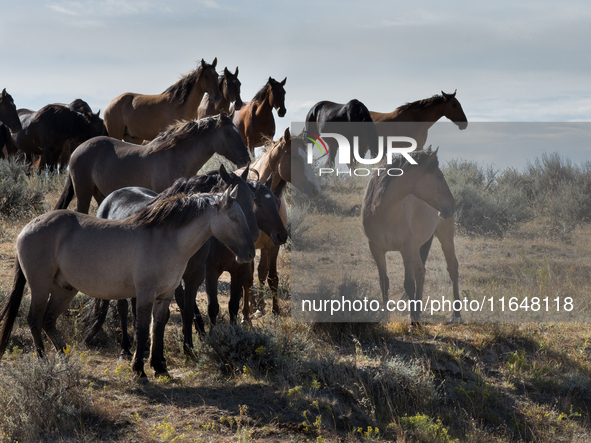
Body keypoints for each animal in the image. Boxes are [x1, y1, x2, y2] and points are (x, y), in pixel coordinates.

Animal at [0, 187, 256, 382]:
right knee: (34, 319)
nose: (250, 254)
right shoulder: (145, 294)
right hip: (41, 286)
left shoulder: (164, 295)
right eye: (233, 218)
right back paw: (43, 362)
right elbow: (141, 329)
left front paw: (159, 368)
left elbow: (157, 329)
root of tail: (28, 227)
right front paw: (139, 370)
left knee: (48, 320)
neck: (166, 240)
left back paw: (64, 358)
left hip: (64, 290)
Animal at [53, 112, 252, 213]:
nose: (246, 159)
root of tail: (77, 151)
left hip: (98, 193)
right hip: (83, 193)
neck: (174, 157)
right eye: (229, 133)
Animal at [360, 147, 462, 324]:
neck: (384, 212)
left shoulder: (406, 249)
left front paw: (413, 320)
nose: (452, 206)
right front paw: (386, 316)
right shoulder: (376, 249)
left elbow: (409, 284)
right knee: (421, 272)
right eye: (439, 176)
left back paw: (456, 314)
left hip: (445, 237)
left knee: (452, 269)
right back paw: (418, 310)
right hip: (416, 247)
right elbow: (384, 282)